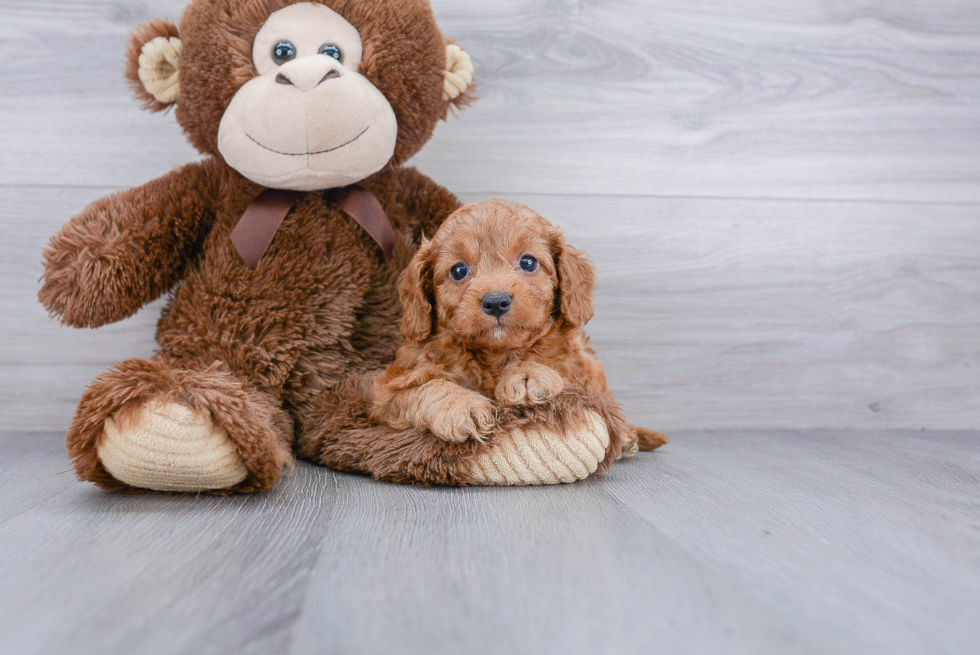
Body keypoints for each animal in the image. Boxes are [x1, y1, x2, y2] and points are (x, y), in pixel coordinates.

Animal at [368, 201, 668, 456]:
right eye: (458, 270)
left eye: (528, 262)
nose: (496, 302)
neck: (494, 355)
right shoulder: (386, 393)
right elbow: (425, 386)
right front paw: (460, 406)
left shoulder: (576, 368)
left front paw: (527, 374)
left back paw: (627, 438)